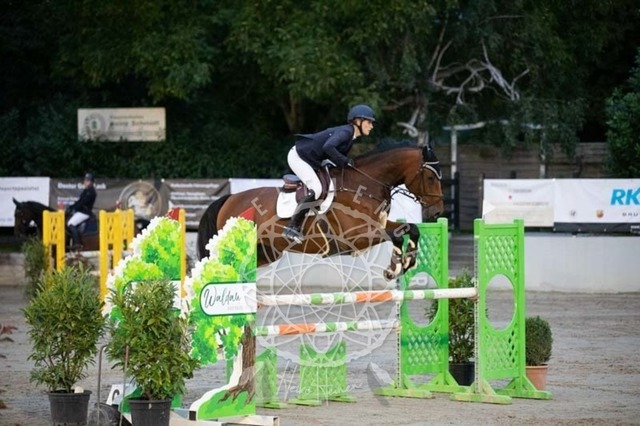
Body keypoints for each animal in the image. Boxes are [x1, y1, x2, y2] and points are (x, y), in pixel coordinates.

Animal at [197, 144, 445, 279]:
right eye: (431, 177)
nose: (436, 213)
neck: (365, 184)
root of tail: (230, 198)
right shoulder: (356, 236)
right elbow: (396, 235)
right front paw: (397, 267)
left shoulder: (377, 226)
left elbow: (410, 229)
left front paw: (402, 265)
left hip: (267, 251)